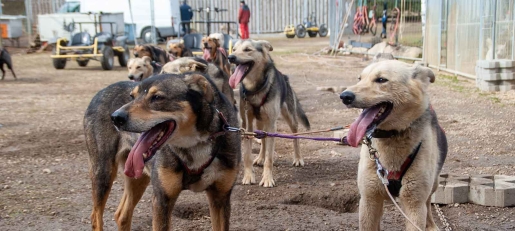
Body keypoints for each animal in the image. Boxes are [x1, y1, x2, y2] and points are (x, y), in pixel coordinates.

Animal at [84, 72, 240, 231]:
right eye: (132, 97)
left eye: (157, 97)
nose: (116, 117)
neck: (195, 145)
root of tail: (102, 91)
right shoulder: (162, 199)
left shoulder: (220, 197)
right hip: (103, 173)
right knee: (96, 217)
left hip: (138, 176)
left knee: (121, 215)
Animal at [338, 60, 448, 230]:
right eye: (360, 78)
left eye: (381, 80)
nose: (345, 96)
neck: (392, 136)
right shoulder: (369, 200)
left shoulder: (414, 204)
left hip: (432, 185)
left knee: (429, 203)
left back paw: (431, 225)